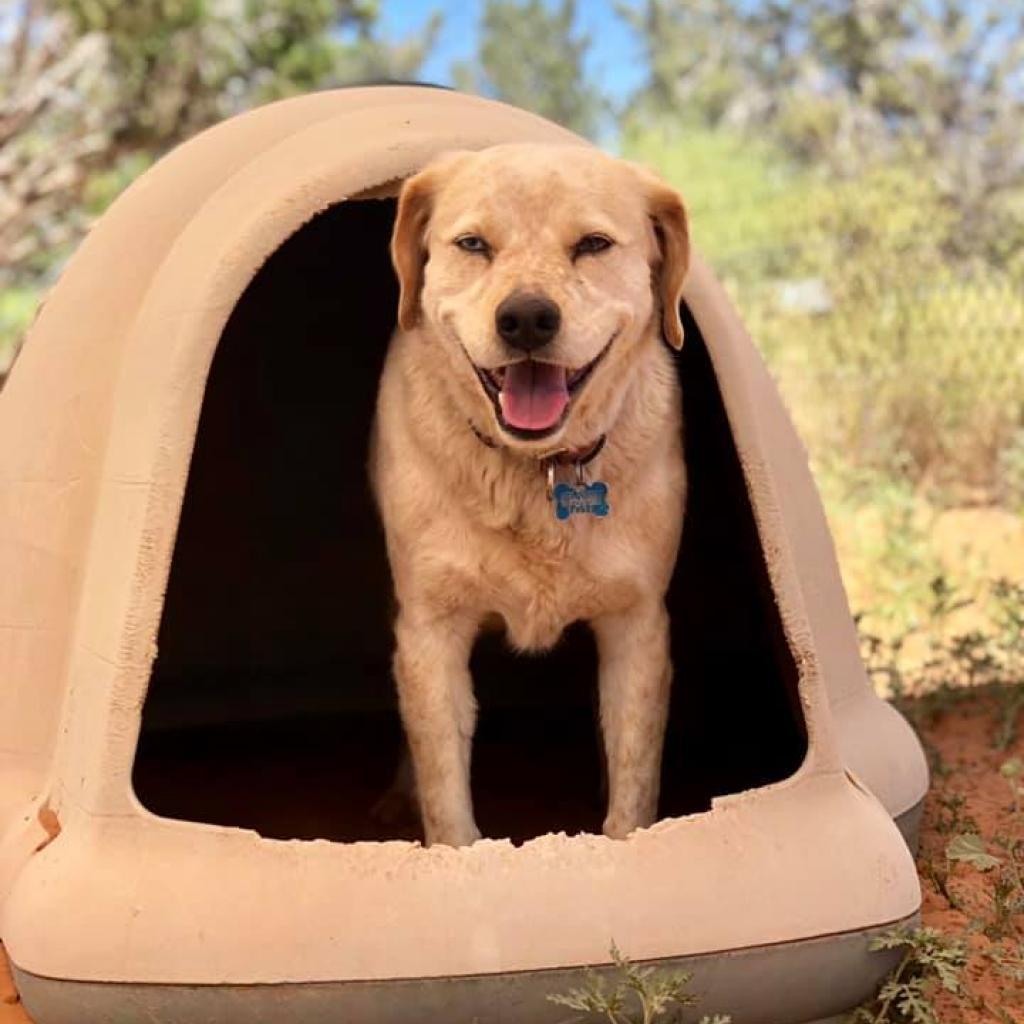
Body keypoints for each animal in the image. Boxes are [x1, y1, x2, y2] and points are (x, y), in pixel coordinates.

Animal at [368, 144, 688, 847]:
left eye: (593, 244)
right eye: (473, 244)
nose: (526, 320)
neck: (535, 474)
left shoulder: (638, 626)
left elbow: (633, 786)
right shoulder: (430, 628)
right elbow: (446, 798)